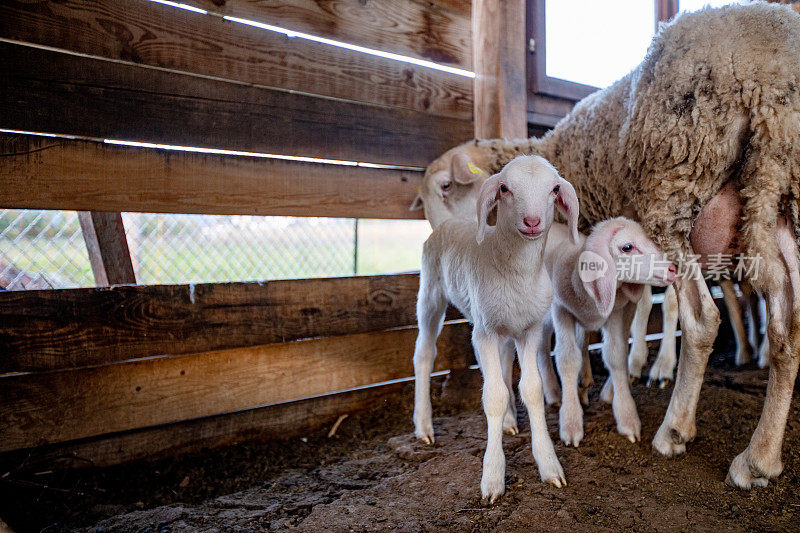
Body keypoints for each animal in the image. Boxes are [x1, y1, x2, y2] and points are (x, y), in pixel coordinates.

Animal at [412, 152, 576, 500]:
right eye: (504, 188)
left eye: (555, 189)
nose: (532, 222)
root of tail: (446, 223)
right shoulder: (484, 332)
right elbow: (494, 396)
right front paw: (492, 478)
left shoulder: (529, 329)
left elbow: (531, 389)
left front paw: (549, 465)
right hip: (431, 291)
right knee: (424, 353)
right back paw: (424, 426)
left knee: (501, 363)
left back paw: (510, 421)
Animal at [544, 216, 676, 444]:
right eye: (627, 247)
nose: (673, 269)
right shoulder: (560, 310)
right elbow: (567, 358)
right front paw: (570, 422)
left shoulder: (614, 312)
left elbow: (616, 354)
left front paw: (627, 417)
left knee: (584, 340)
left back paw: (585, 382)